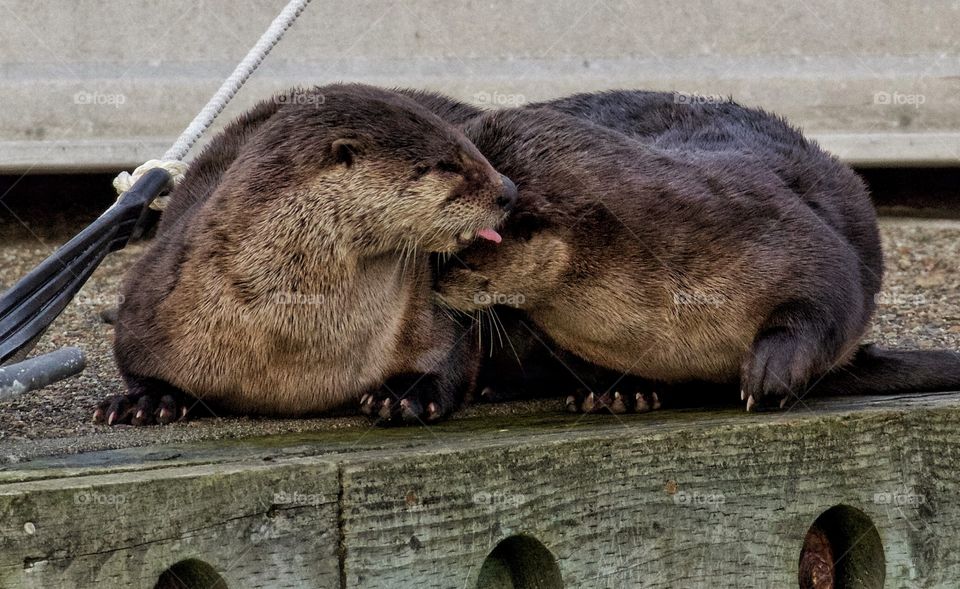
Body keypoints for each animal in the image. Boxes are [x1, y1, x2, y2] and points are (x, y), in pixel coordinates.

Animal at [94, 81, 516, 422]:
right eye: (446, 165)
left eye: (472, 147)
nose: (508, 190)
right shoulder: (155, 292)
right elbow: (135, 358)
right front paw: (147, 400)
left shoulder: (425, 299)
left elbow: (451, 353)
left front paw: (404, 395)